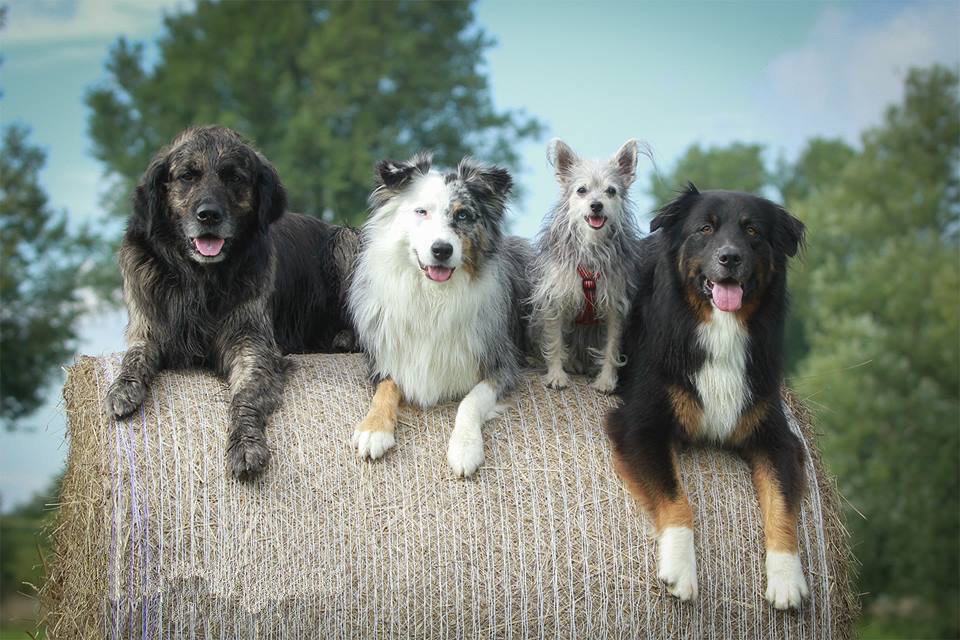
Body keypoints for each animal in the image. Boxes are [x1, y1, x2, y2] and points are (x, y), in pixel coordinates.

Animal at [105, 125, 358, 480]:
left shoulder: (251, 344)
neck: (199, 279)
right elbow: (134, 358)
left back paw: (344, 337)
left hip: (346, 241)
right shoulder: (148, 329)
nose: (208, 215)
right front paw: (122, 389)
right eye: (187, 175)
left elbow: (245, 397)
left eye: (234, 177)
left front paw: (245, 444)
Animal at [608, 185, 808, 608]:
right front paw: (681, 568)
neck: (719, 327)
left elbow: (782, 503)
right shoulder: (640, 426)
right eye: (705, 228)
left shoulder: (778, 438)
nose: (729, 257)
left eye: (752, 231)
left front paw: (787, 578)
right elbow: (675, 496)